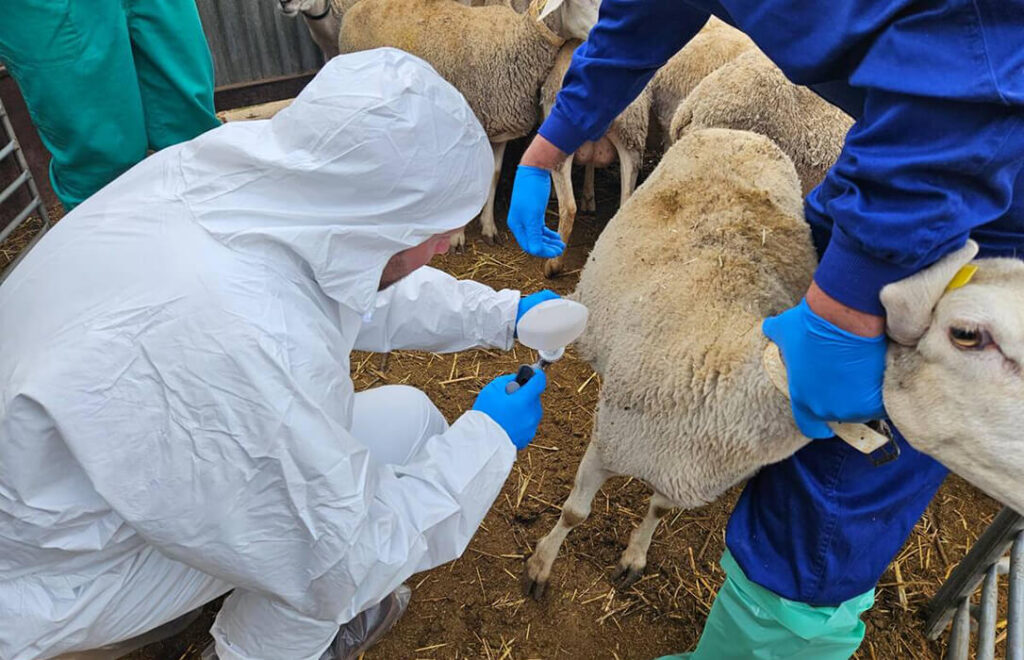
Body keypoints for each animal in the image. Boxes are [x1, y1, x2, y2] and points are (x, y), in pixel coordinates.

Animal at [340, 0, 601, 250]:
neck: (514, 43)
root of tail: (357, 7)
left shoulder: (500, 129)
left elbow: (494, 175)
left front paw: (488, 228)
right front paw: (457, 238)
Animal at [540, 40, 652, 278]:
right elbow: (590, 165)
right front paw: (589, 197)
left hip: (562, 144)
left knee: (568, 207)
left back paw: (553, 265)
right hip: (632, 139)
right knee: (625, 201)